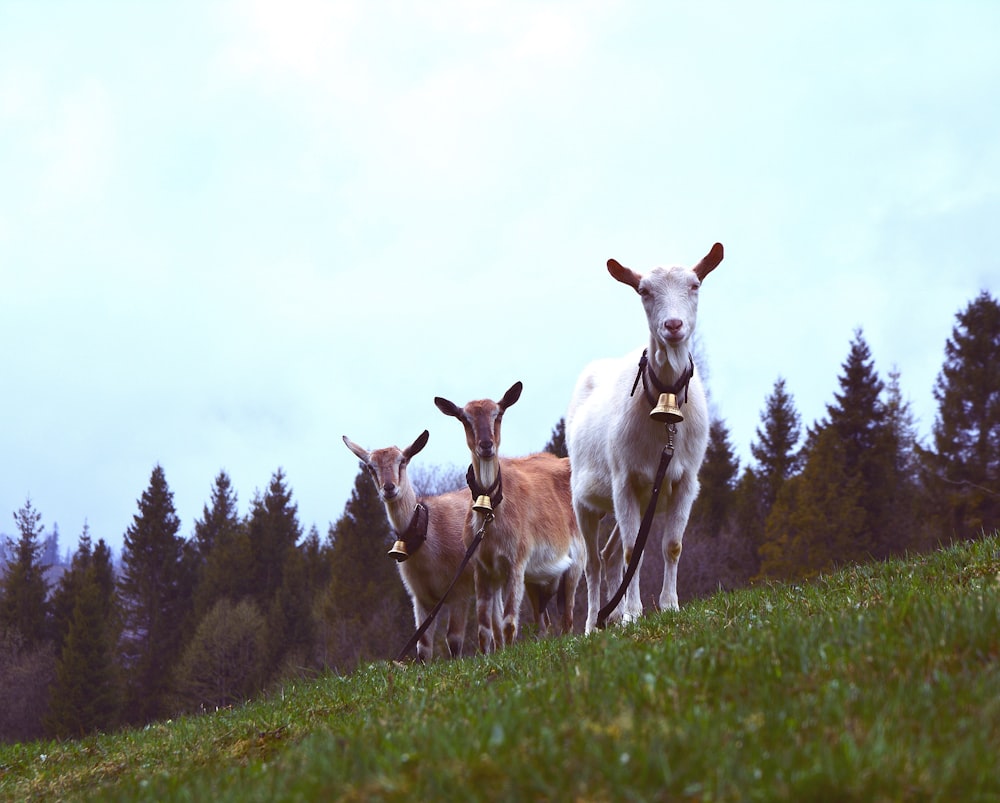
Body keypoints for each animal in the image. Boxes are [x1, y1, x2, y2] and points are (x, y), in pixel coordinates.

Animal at [340, 430, 472, 664]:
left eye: (402, 460)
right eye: (370, 466)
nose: (389, 488)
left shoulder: (460, 589)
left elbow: (454, 639)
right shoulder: (420, 597)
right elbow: (423, 646)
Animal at [432, 384, 584, 652]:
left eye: (498, 414)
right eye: (464, 418)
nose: (486, 445)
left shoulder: (517, 561)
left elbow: (509, 622)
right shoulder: (482, 568)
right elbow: (484, 628)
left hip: (575, 563)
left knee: (567, 618)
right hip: (537, 578)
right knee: (544, 622)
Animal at [568, 242, 724, 632]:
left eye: (695, 285)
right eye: (643, 291)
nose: (673, 325)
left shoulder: (685, 481)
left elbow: (671, 545)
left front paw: (669, 606)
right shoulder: (624, 480)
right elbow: (632, 552)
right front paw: (634, 613)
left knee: (608, 554)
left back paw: (612, 615)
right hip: (584, 499)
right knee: (593, 563)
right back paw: (593, 623)